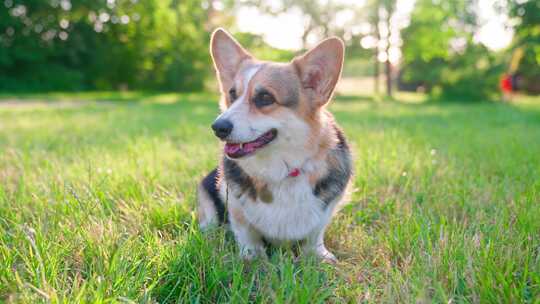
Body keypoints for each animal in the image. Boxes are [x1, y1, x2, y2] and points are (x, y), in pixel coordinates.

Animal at [196, 27, 352, 262]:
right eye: (232, 94)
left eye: (265, 97)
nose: (218, 127)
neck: (281, 169)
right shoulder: (236, 207)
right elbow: (247, 233)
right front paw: (252, 258)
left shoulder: (326, 210)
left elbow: (315, 235)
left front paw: (320, 256)